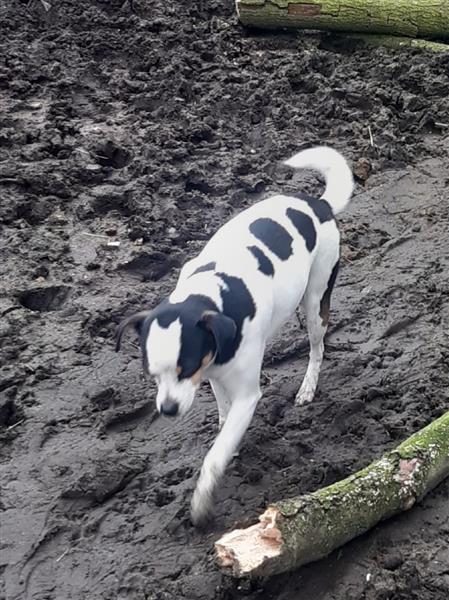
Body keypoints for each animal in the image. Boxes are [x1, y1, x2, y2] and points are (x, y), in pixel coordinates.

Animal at [116, 148, 354, 528]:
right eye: (151, 375)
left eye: (184, 369)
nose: (167, 410)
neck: (211, 295)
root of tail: (318, 204)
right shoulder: (213, 374)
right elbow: (224, 419)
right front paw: (229, 439)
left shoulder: (246, 395)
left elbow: (216, 453)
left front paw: (202, 498)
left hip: (316, 298)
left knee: (317, 346)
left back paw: (308, 387)